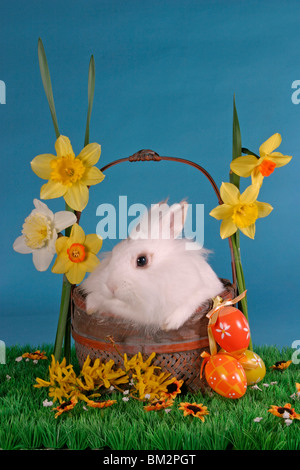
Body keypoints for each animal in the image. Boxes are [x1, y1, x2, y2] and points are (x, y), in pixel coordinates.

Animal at [81, 199, 224, 330]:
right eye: (114, 252)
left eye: (142, 260)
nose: (111, 286)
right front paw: (90, 306)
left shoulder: (205, 290)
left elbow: (190, 302)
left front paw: (169, 323)